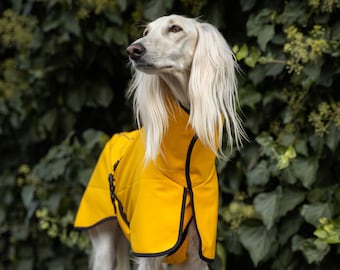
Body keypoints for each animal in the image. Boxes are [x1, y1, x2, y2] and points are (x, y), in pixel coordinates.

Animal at [74, 14, 244, 270]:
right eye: (146, 32)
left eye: (175, 28)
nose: (133, 50)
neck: (184, 169)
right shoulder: (150, 248)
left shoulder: (197, 251)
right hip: (104, 238)